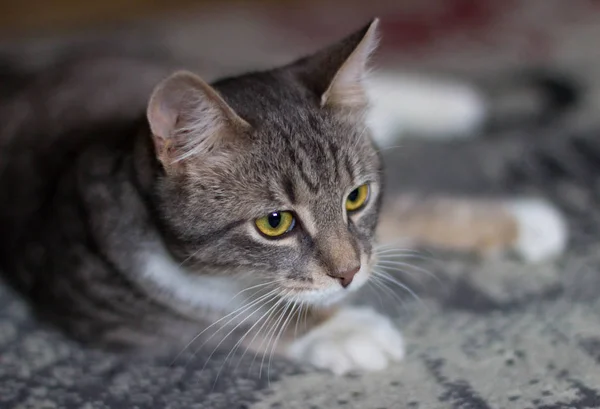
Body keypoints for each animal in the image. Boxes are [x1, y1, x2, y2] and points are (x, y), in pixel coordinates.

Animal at [0, 20, 568, 374]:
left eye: (357, 197)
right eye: (275, 222)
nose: (349, 276)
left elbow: (404, 213)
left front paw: (522, 220)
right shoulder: (119, 312)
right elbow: (224, 325)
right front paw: (343, 330)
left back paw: (449, 100)